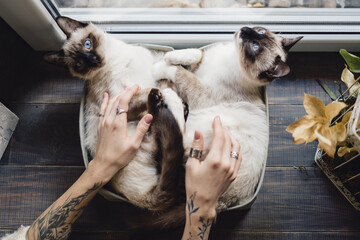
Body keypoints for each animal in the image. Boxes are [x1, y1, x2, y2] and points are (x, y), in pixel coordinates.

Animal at [45, 17, 188, 212]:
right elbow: (156, 89)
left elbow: (164, 68)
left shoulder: (151, 68)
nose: (93, 60)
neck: (115, 59)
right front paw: (169, 95)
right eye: (79, 65)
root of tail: (142, 200)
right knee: (168, 124)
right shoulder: (125, 99)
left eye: (88, 44)